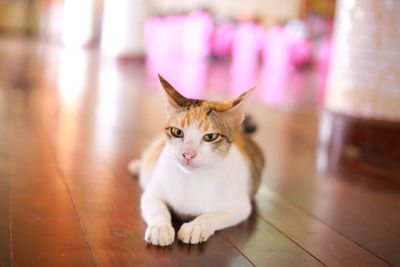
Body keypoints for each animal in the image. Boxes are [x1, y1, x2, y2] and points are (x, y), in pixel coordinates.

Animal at [129, 75, 266, 247]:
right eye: (177, 132)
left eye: (210, 136)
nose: (188, 154)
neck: (191, 178)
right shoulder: (152, 194)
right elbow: (157, 208)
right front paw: (160, 227)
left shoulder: (240, 207)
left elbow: (212, 215)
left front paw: (197, 226)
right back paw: (137, 166)